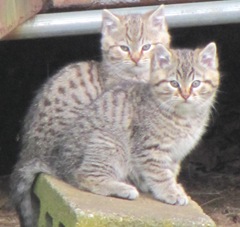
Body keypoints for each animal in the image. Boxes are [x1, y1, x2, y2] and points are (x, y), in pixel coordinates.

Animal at [10, 41, 218, 226]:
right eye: (173, 83)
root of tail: (56, 164)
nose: (185, 94)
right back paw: (122, 187)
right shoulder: (149, 148)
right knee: (85, 176)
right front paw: (170, 192)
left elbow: (170, 171)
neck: (185, 116)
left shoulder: (175, 154)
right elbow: (160, 174)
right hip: (108, 142)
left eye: (196, 83)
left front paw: (173, 187)